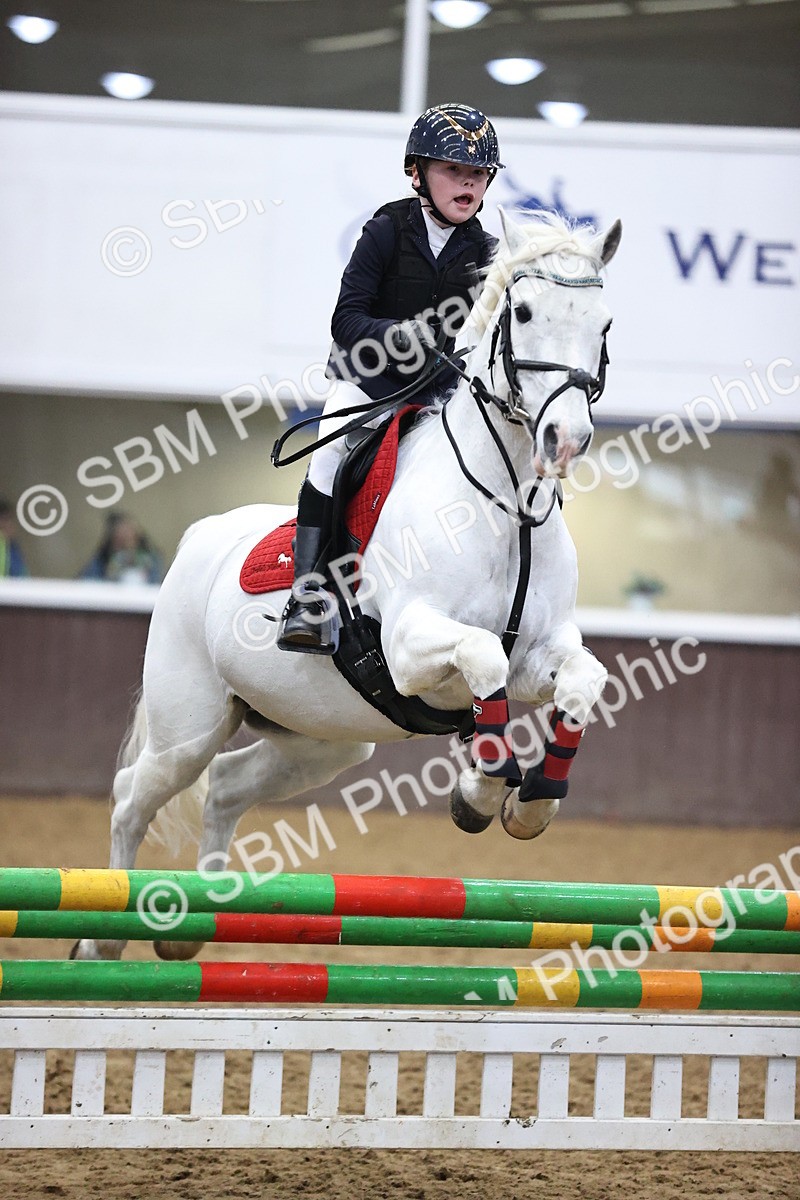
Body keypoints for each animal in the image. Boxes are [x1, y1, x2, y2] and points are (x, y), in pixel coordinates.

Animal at [73, 207, 621, 963]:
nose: (565, 439)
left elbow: (583, 680)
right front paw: (480, 792)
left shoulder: (540, 654)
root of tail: (201, 539)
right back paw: (102, 940)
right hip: (191, 723)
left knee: (227, 786)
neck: (506, 503)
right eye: (525, 312)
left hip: (320, 736)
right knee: (136, 794)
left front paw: (533, 801)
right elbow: (481, 656)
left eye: (604, 323)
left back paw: (195, 923)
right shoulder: (411, 646)